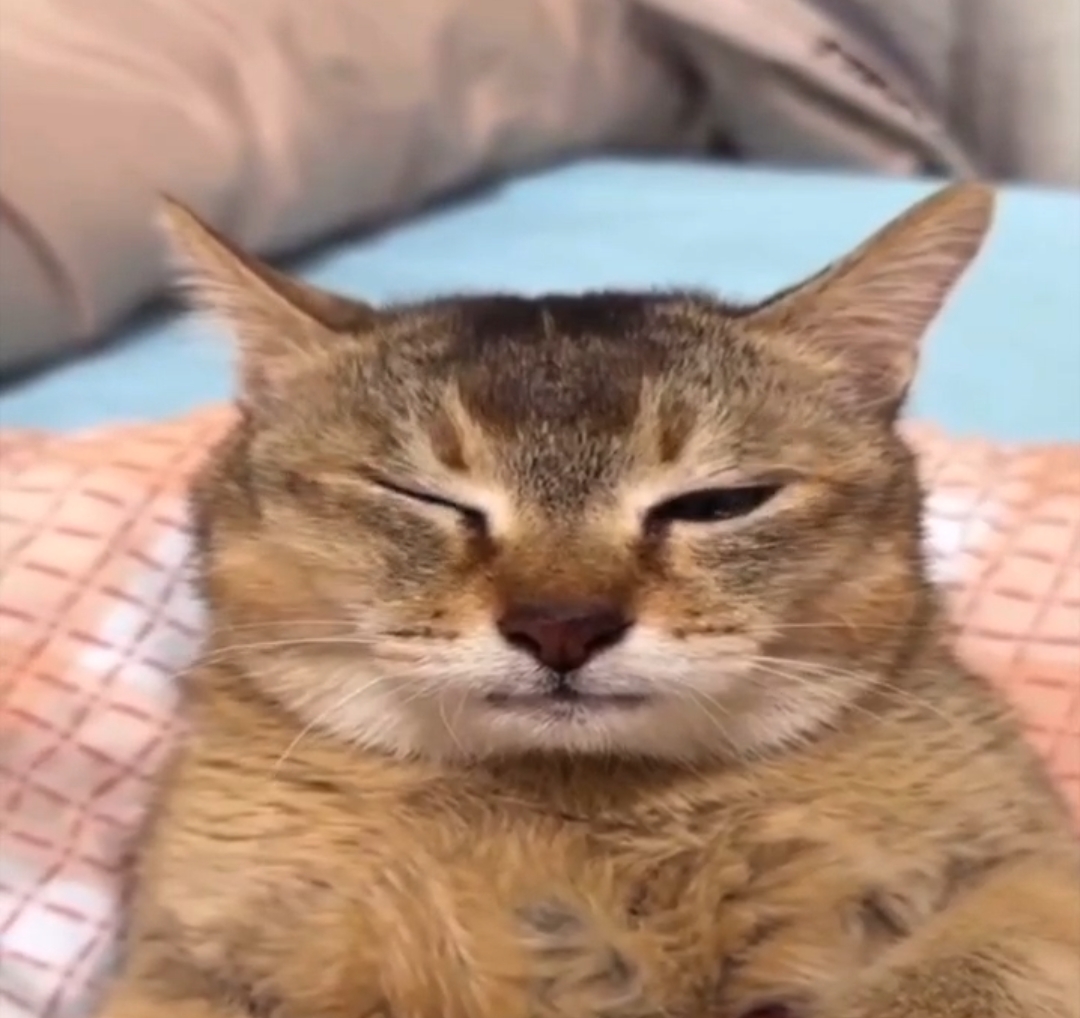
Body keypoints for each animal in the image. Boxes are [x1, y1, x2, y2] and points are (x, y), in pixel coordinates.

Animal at [98, 184, 1079, 1018]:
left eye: (719, 503)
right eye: (420, 496)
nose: (562, 627)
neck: (570, 808)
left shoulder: (1029, 869)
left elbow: (962, 966)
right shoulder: (187, 956)